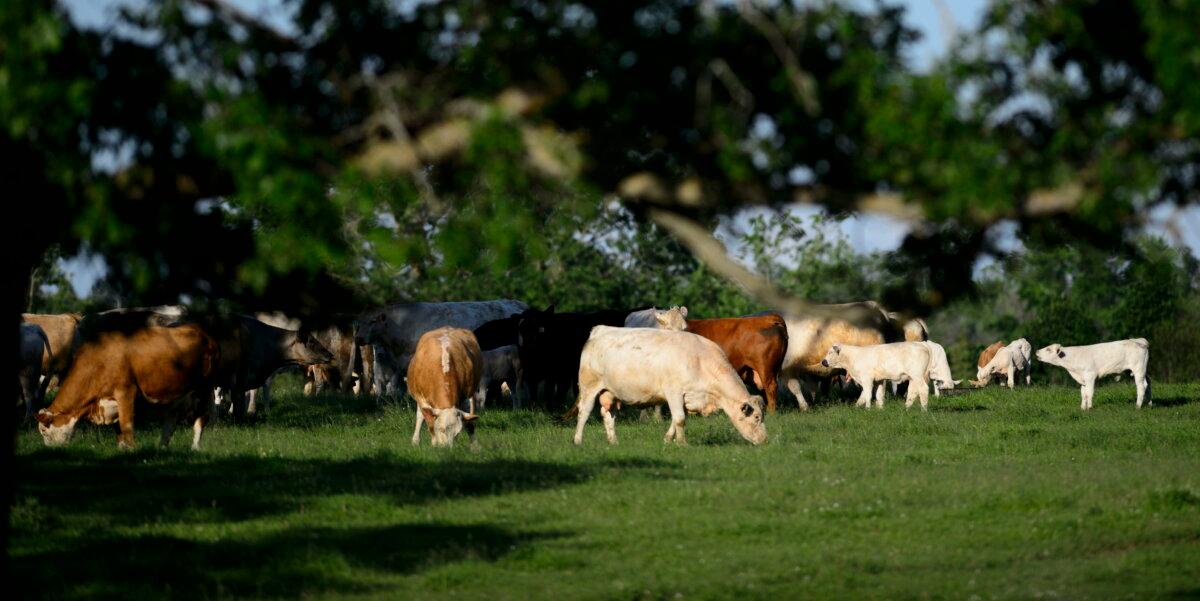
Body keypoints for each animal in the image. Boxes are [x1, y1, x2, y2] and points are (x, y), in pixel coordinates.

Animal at [34, 323, 220, 450]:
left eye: (44, 431)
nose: (49, 451)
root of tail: (199, 330)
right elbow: (118, 428)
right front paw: (122, 449)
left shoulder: (126, 392)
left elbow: (126, 424)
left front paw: (132, 450)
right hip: (178, 393)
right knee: (172, 418)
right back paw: (162, 447)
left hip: (205, 389)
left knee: (201, 418)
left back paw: (195, 447)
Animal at [572, 326, 767, 445]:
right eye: (756, 417)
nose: (765, 440)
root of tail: (600, 330)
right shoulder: (673, 392)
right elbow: (680, 419)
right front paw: (682, 443)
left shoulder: (686, 398)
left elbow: (677, 419)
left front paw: (667, 440)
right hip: (589, 387)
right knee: (584, 413)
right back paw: (578, 440)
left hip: (610, 392)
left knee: (608, 415)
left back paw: (613, 442)